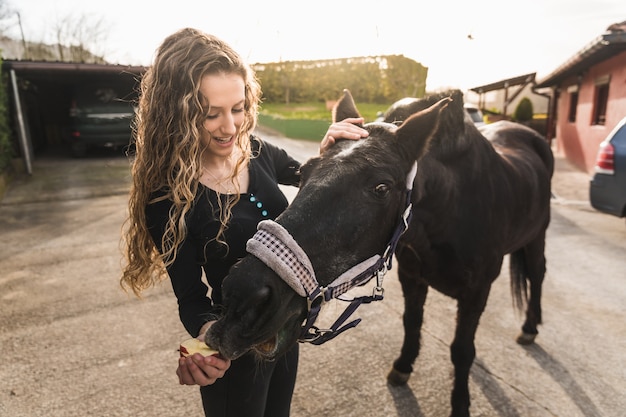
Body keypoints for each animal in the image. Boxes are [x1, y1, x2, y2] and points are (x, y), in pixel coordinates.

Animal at [207, 89, 552, 414]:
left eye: (381, 188)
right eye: (302, 172)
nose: (241, 297)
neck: (453, 209)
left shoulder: (477, 291)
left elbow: (462, 350)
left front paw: (460, 404)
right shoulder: (413, 277)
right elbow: (413, 322)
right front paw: (403, 366)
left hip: (537, 238)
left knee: (537, 273)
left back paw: (530, 327)